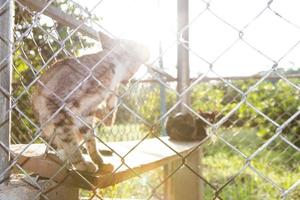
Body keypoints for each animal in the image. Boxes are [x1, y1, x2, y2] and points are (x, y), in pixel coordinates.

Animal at [31, 31, 150, 173]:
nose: (148, 49)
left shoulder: (86, 114)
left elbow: (91, 139)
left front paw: (99, 161)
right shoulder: (56, 103)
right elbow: (69, 141)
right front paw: (80, 163)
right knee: (57, 142)